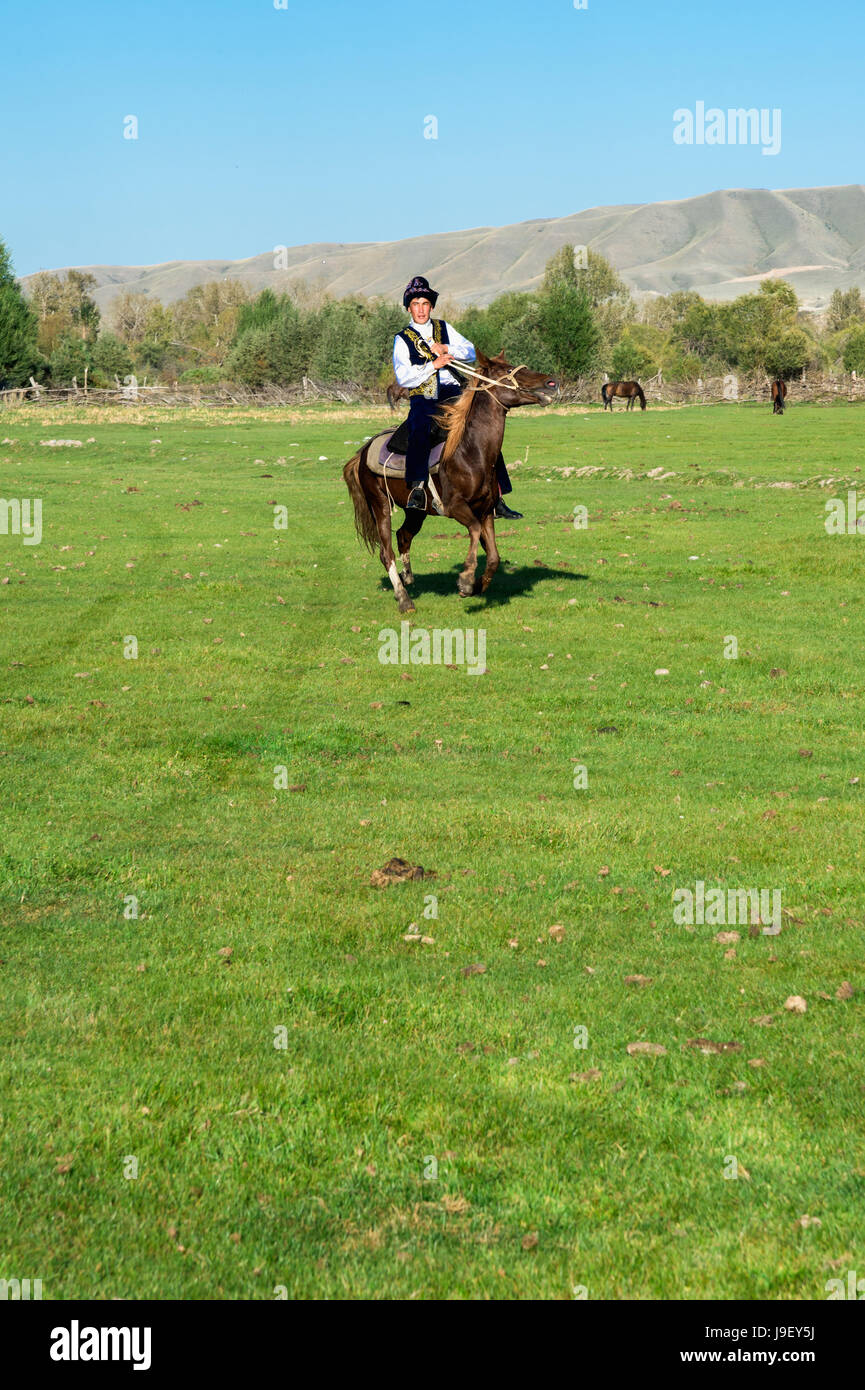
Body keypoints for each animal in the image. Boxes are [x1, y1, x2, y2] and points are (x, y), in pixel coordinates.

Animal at [342, 350, 559, 611]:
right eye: (508, 370)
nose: (551, 383)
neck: (470, 452)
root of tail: (362, 452)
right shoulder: (456, 507)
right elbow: (474, 531)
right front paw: (465, 581)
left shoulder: (486, 511)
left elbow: (493, 557)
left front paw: (478, 585)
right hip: (380, 505)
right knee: (387, 552)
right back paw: (404, 598)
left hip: (416, 511)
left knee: (403, 536)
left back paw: (408, 579)